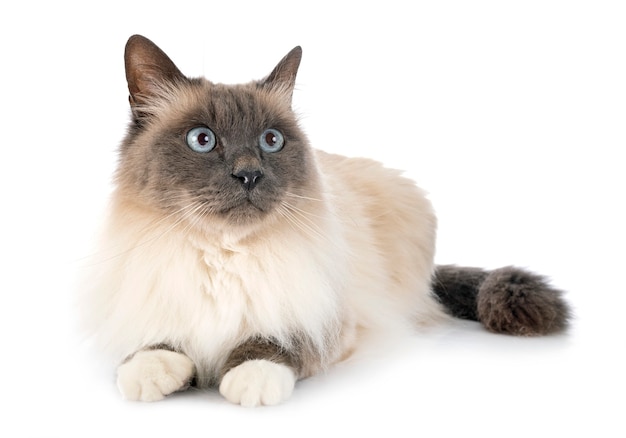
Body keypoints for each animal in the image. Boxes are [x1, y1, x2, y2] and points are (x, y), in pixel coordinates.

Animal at [80, 34, 568, 408]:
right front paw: (149, 372)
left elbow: (276, 343)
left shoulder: (326, 320)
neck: (226, 251)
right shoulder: (142, 308)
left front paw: (251, 379)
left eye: (271, 141)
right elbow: (149, 347)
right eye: (202, 140)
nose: (249, 174)